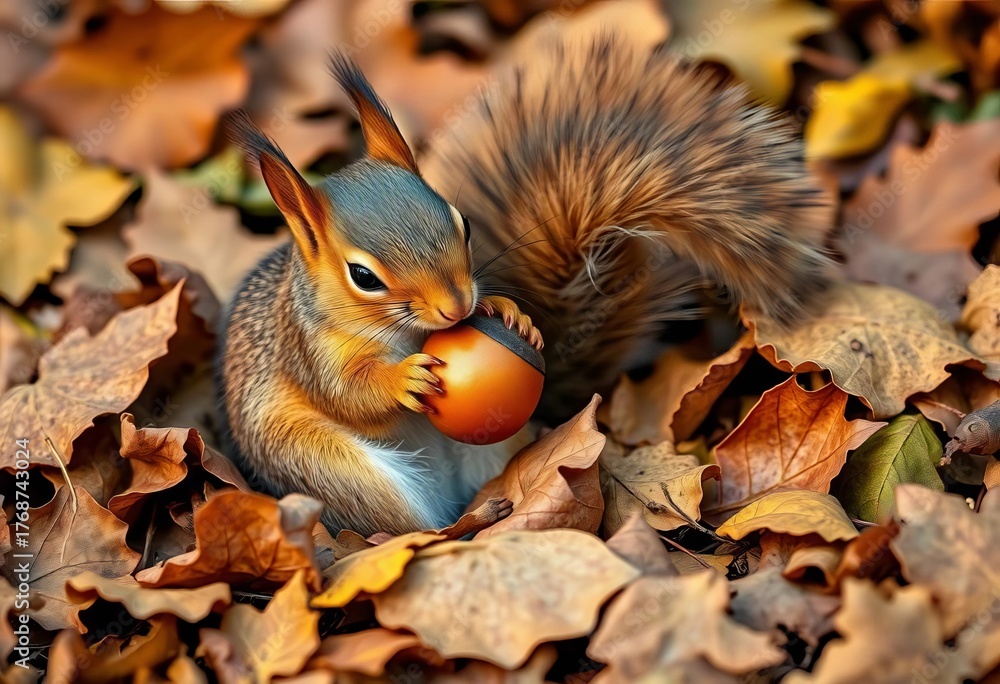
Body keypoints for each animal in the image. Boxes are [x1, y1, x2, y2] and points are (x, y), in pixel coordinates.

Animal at [220, 37, 832, 537]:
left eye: (463, 223)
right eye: (363, 277)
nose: (458, 307)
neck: (405, 334)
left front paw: (510, 312)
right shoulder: (307, 349)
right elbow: (347, 395)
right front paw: (401, 380)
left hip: (493, 447)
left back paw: (492, 505)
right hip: (333, 469)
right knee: (410, 529)